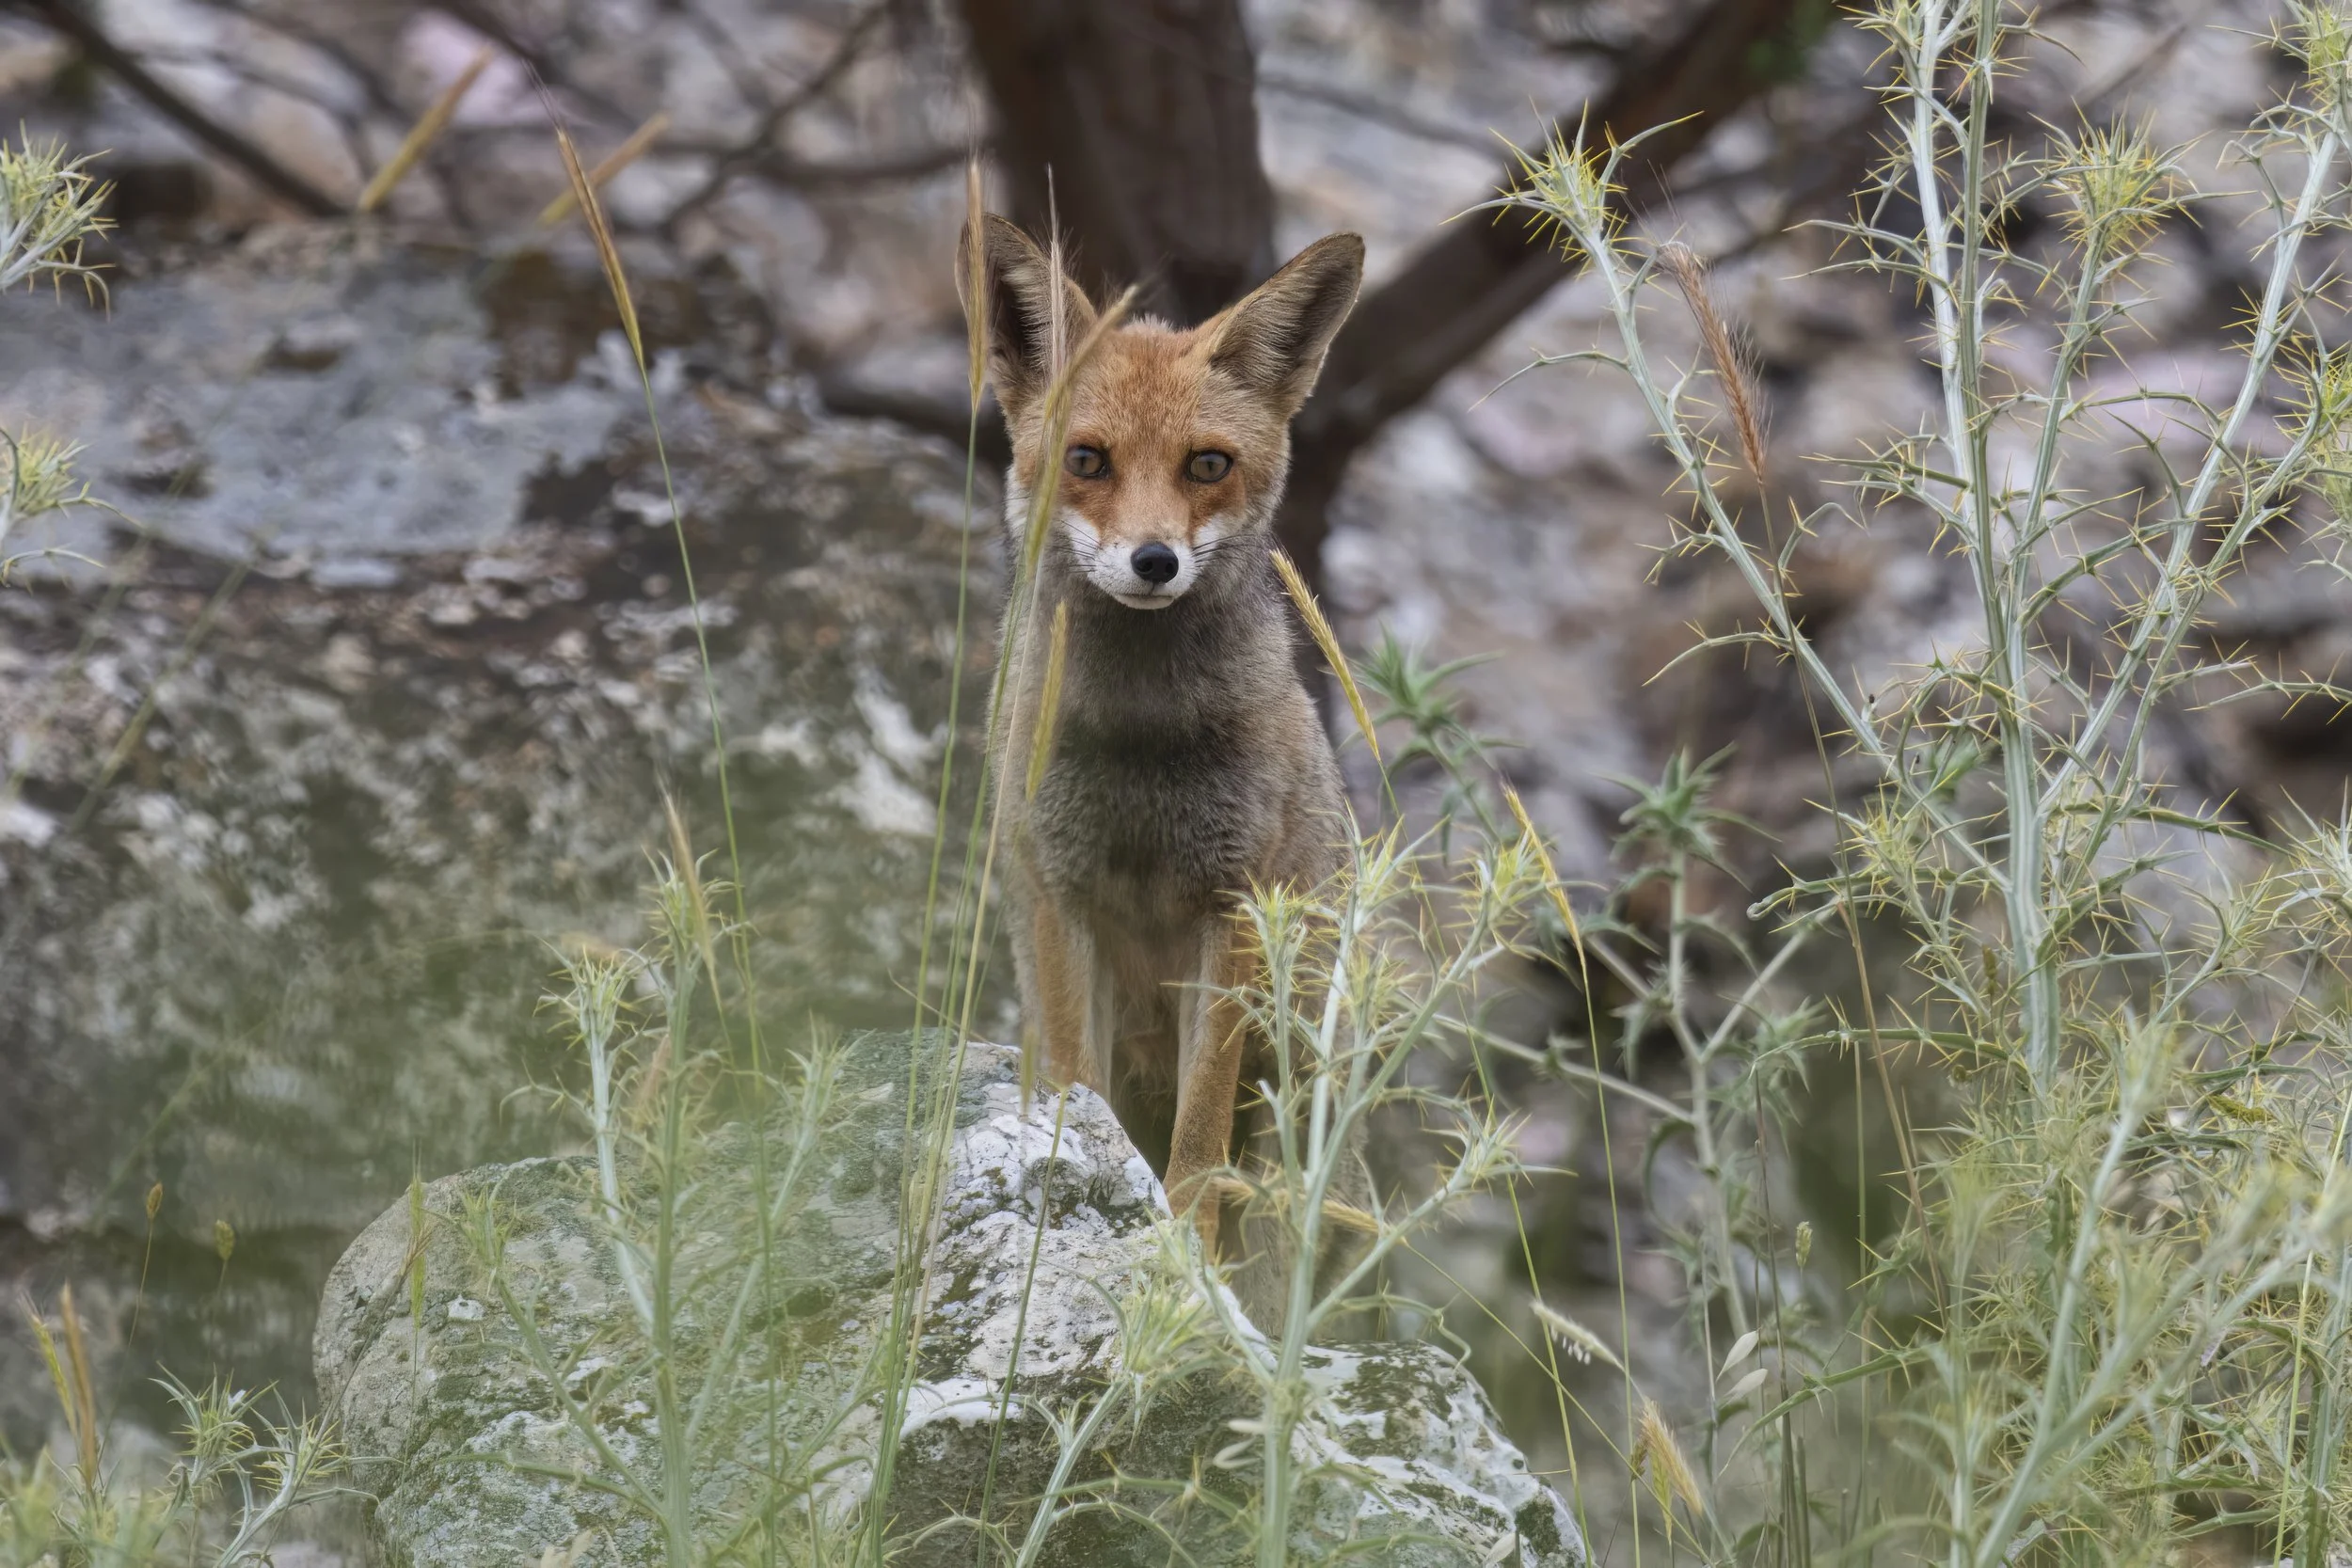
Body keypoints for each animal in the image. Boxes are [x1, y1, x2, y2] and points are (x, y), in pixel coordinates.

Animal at [967, 214, 1366, 1311]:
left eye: (1206, 465)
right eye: (1088, 458)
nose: (1153, 561)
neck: (1140, 742)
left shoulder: (1230, 913)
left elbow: (1195, 1145)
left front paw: (1176, 1267)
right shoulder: (1058, 896)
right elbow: (1077, 1087)